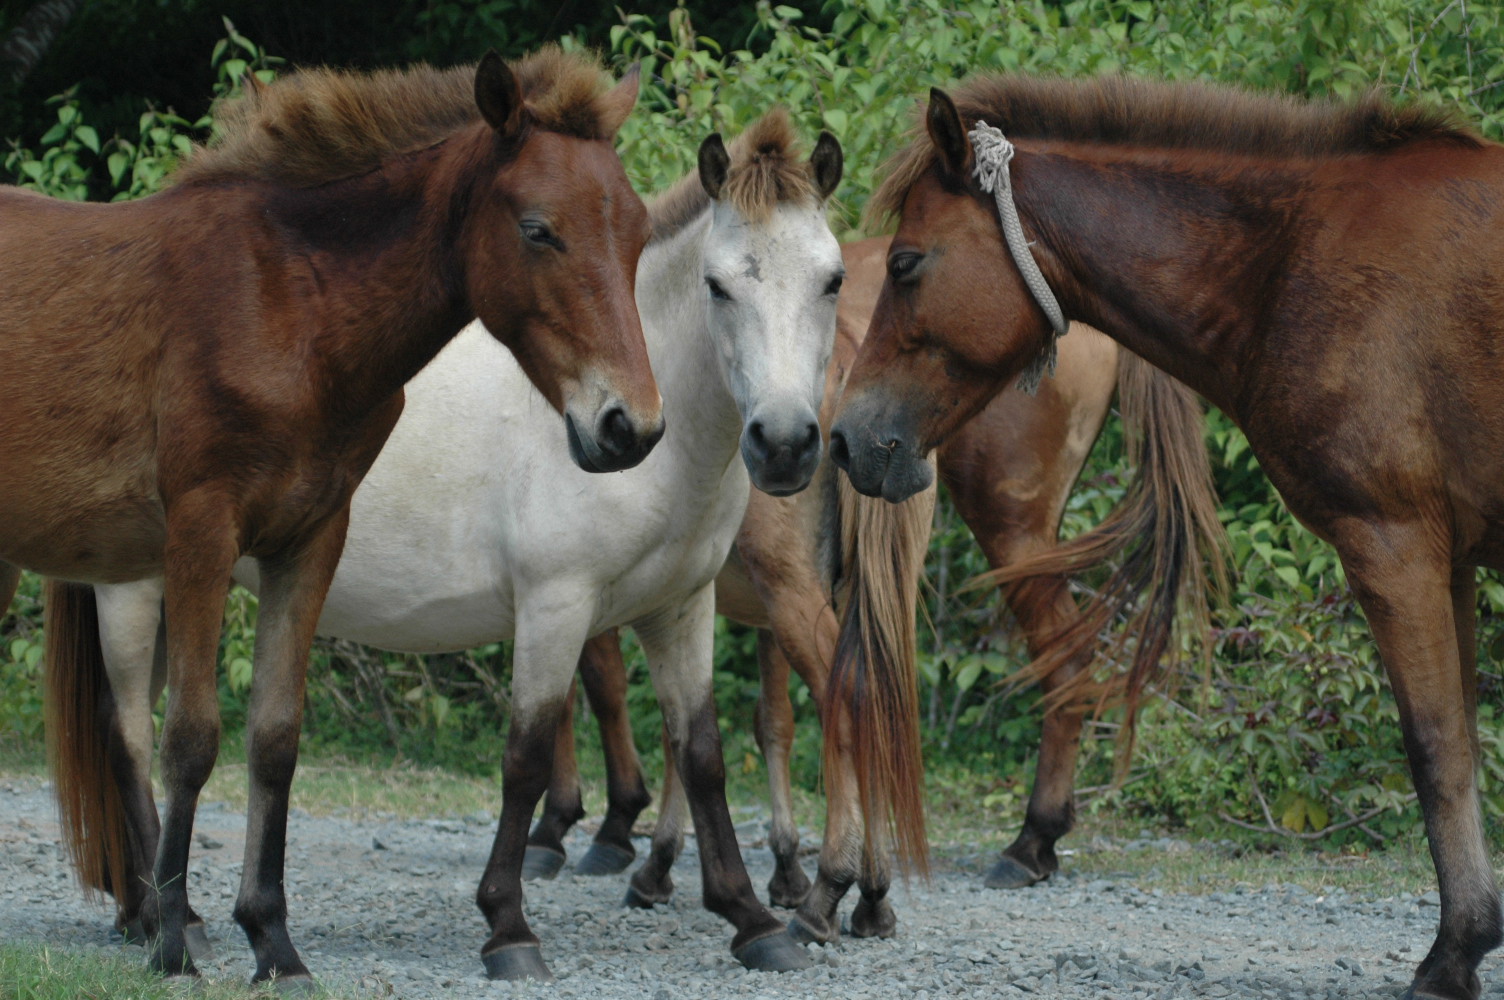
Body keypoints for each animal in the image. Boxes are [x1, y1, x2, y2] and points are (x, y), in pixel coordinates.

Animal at [7, 48, 664, 980]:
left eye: (638, 232)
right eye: (539, 229)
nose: (628, 427)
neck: (287, 303)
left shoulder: (310, 539)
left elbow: (275, 738)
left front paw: (272, 941)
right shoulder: (202, 532)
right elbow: (190, 738)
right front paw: (174, 945)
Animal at [43, 107, 848, 974]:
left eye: (833, 279)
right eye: (717, 284)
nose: (785, 443)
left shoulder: (681, 608)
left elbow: (700, 754)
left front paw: (751, 918)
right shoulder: (557, 606)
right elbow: (526, 757)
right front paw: (508, 926)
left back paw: (144, 913)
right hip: (138, 588)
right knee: (129, 737)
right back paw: (172, 921)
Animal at [830, 74, 1504, 992]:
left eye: (903, 263)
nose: (844, 437)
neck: (1293, 256)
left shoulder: (1395, 547)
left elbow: (1437, 751)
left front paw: (1454, 952)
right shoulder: (1450, 560)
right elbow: (1462, 742)